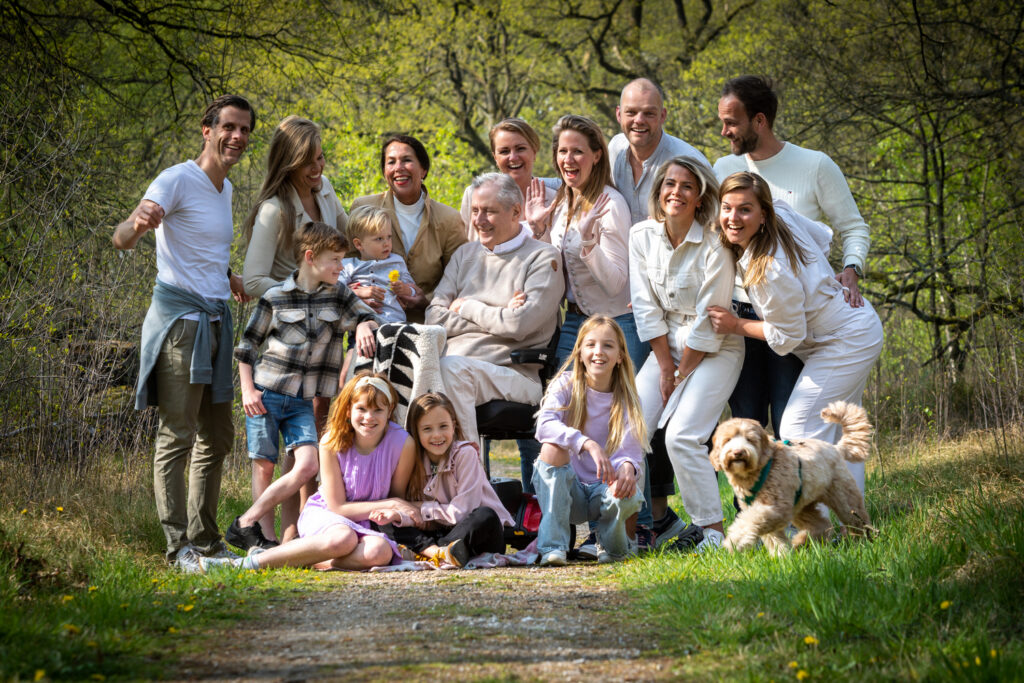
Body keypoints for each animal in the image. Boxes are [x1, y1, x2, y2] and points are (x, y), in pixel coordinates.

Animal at [712, 401, 872, 557]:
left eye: (750, 439)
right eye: (727, 440)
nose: (738, 452)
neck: (761, 469)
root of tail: (836, 448)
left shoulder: (775, 507)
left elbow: (751, 522)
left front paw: (734, 541)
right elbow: (773, 537)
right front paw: (781, 556)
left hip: (844, 499)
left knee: (857, 520)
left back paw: (865, 540)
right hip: (803, 507)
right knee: (822, 524)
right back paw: (801, 542)